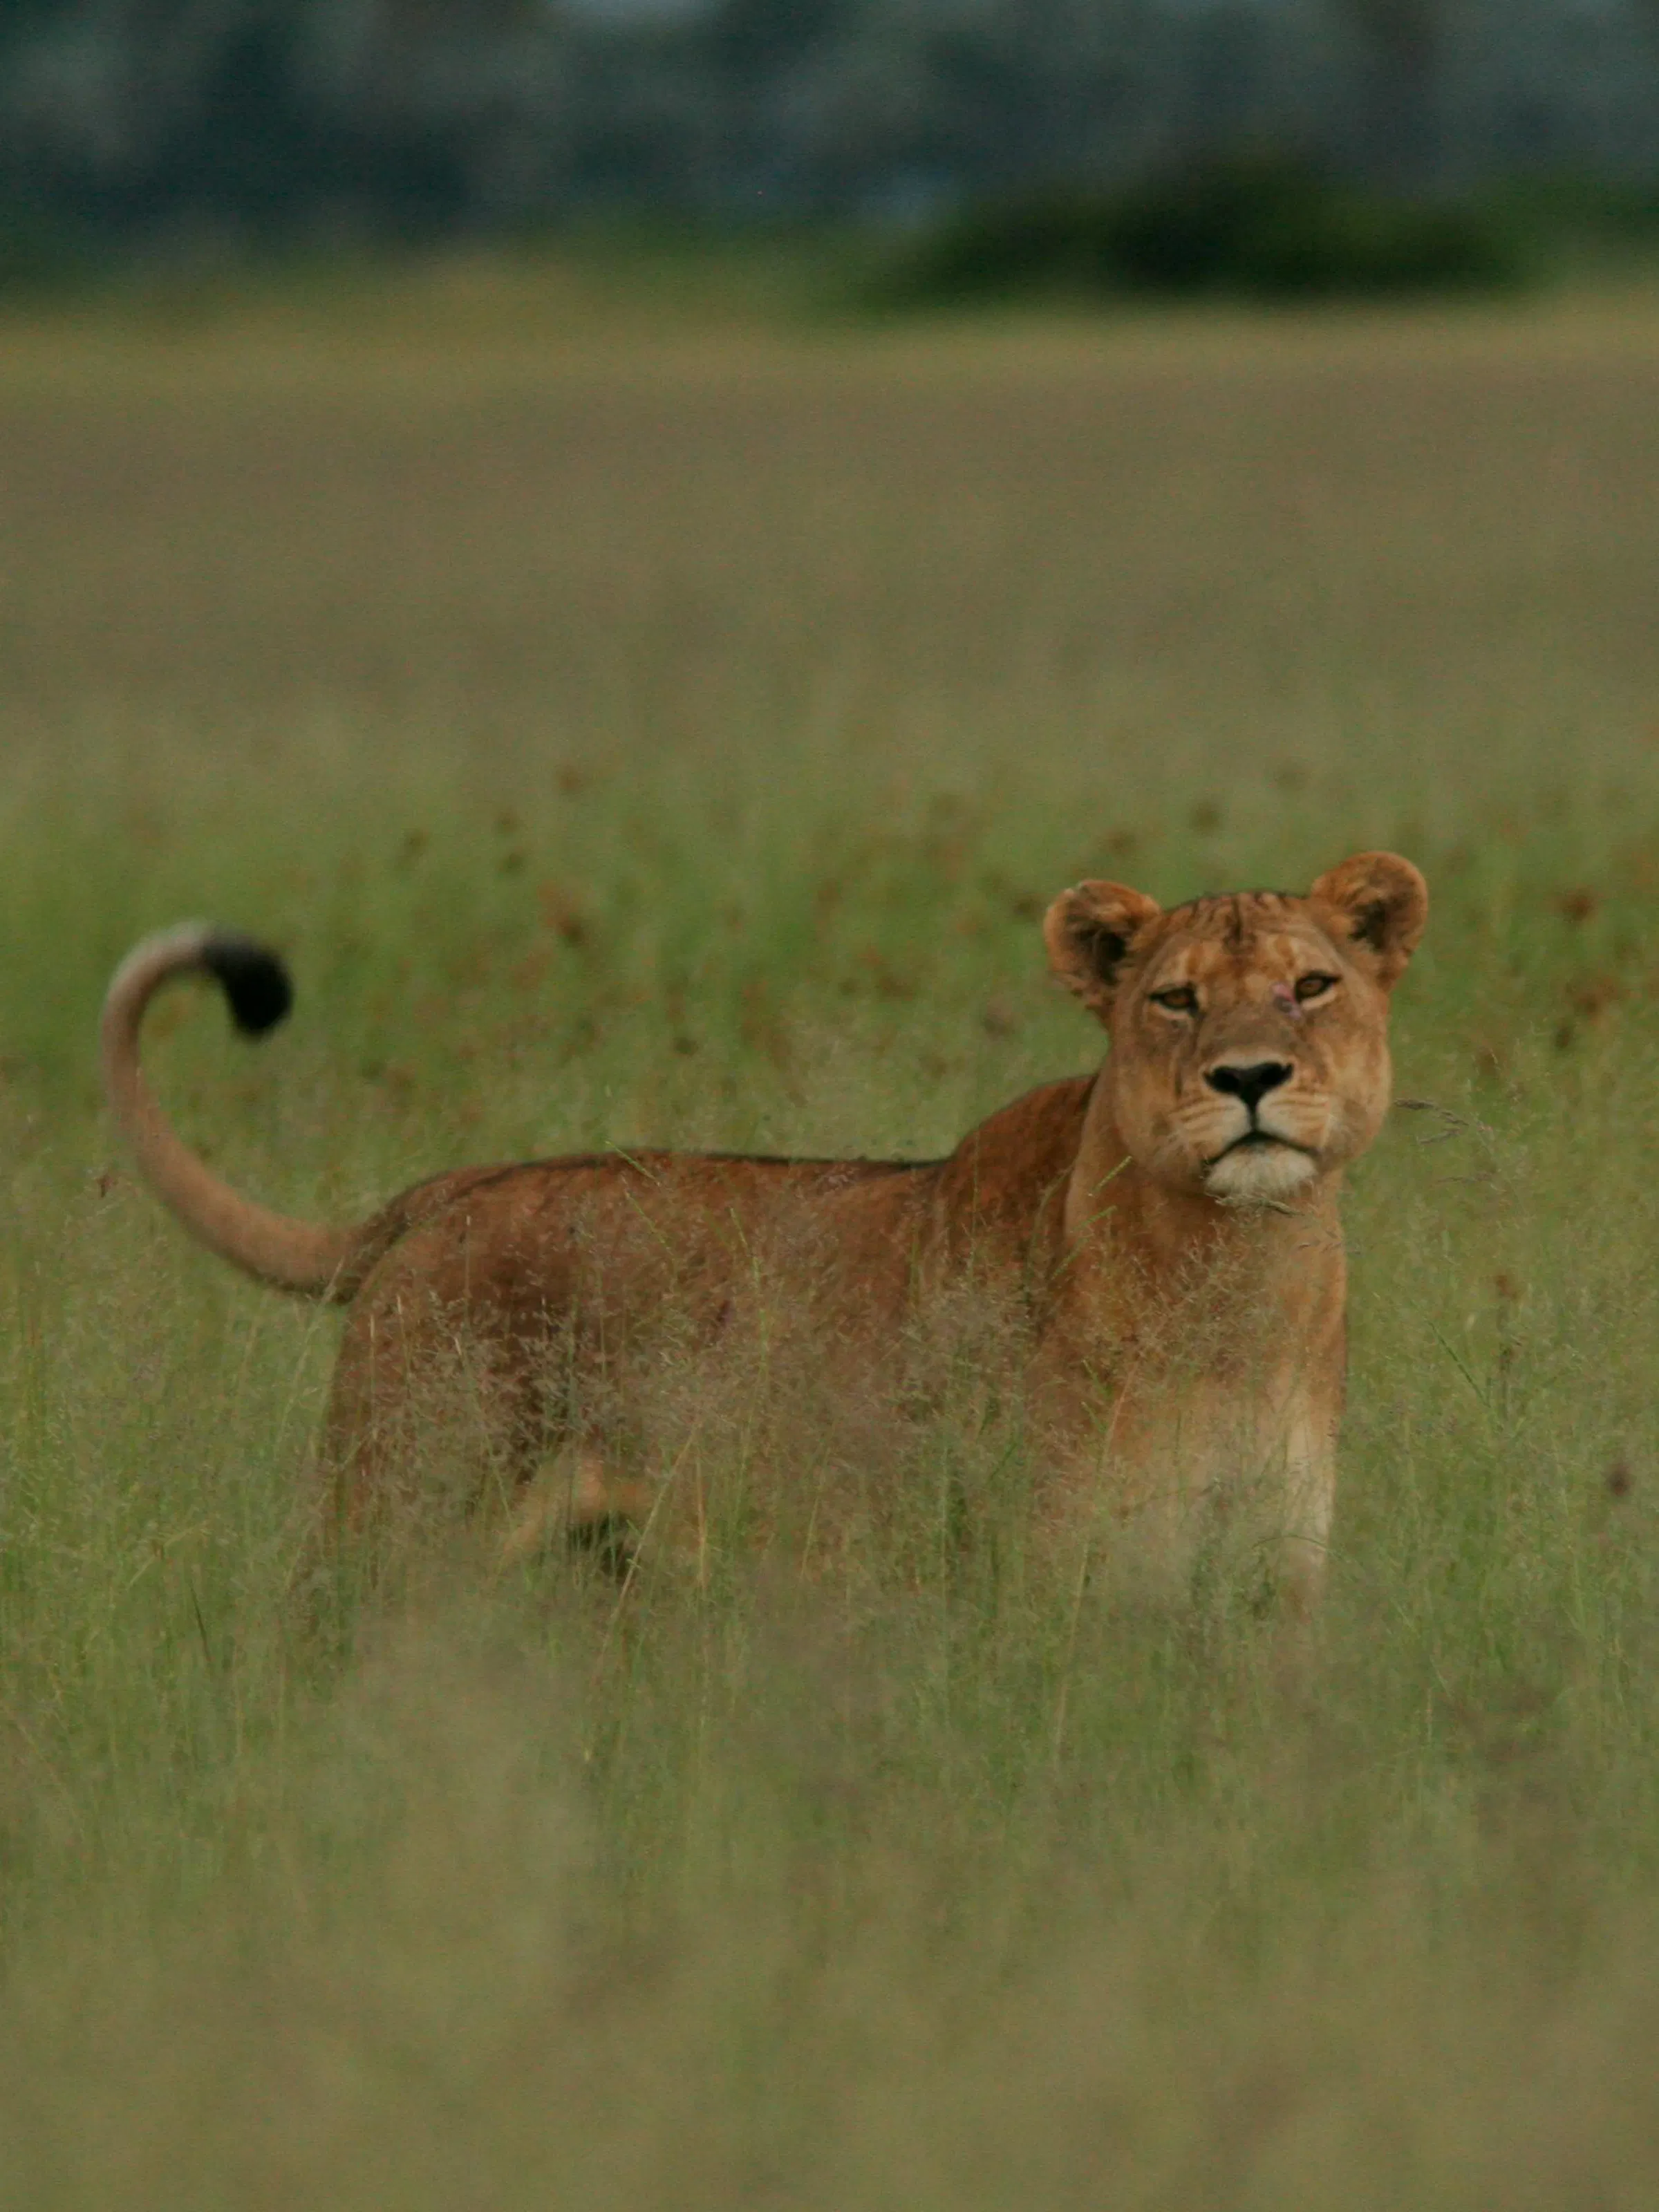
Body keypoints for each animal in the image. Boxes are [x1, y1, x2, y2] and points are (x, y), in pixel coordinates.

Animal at [101, 850, 1425, 1607]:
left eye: (1312, 987)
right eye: (1175, 1000)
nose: (1248, 1077)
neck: (1238, 1277)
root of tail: (451, 1191)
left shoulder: (1273, 1583)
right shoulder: (1049, 1575)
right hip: (397, 1521)